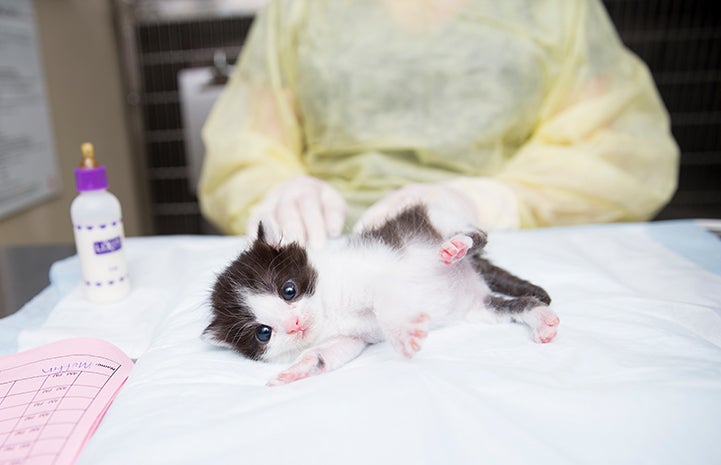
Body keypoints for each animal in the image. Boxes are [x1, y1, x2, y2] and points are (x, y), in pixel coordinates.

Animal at [205, 203, 560, 384]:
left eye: (288, 290)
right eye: (264, 333)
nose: (294, 325)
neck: (329, 313)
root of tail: (473, 274)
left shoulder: (379, 282)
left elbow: (385, 305)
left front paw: (403, 335)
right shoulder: (348, 340)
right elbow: (327, 354)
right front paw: (299, 369)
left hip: (435, 217)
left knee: (479, 234)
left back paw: (458, 246)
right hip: (481, 308)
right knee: (517, 305)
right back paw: (542, 320)